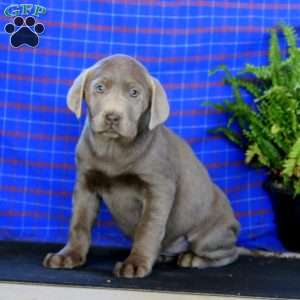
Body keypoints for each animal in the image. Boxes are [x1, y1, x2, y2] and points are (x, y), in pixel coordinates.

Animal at [42, 54, 240, 278]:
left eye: (134, 93)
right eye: (99, 88)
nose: (112, 116)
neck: (113, 149)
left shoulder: (158, 189)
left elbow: (148, 228)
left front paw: (135, 263)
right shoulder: (86, 184)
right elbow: (79, 223)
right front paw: (69, 256)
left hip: (208, 236)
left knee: (229, 253)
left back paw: (193, 258)